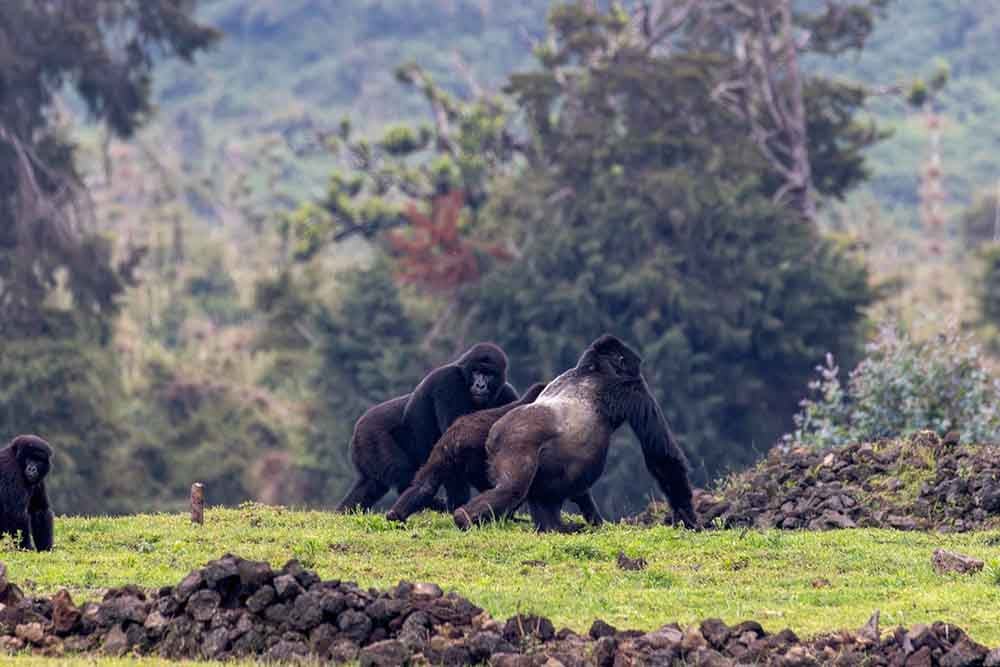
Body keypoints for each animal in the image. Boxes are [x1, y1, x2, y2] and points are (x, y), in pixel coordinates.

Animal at [337, 342, 517, 512]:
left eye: (489, 374)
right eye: (476, 372)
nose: (480, 385)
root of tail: (357, 428)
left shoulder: (508, 395)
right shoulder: (449, 382)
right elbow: (456, 442)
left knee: (371, 485)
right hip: (370, 435)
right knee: (404, 475)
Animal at [452, 334, 699, 533]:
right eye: (633, 367)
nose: (638, 369)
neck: (593, 367)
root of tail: (493, 437)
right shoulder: (633, 388)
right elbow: (662, 457)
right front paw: (689, 518)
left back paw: (552, 526)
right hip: (516, 445)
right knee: (511, 489)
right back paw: (464, 518)